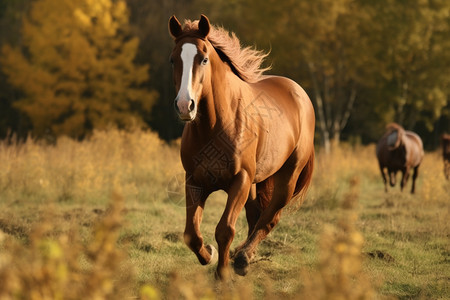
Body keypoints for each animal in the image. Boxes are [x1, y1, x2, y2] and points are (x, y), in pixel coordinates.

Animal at [167, 14, 314, 278]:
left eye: (204, 58)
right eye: (173, 59)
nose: (185, 106)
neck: (215, 127)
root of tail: (299, 93)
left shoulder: (240, 180)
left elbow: (225, 229)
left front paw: (222, 274)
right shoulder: (194, 180)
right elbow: (191, 234)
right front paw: (210, 254)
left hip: (288, 176)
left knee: (270, 217)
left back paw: (243, 258)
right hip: (256, 182)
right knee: (256, 214)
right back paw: (243, 257)